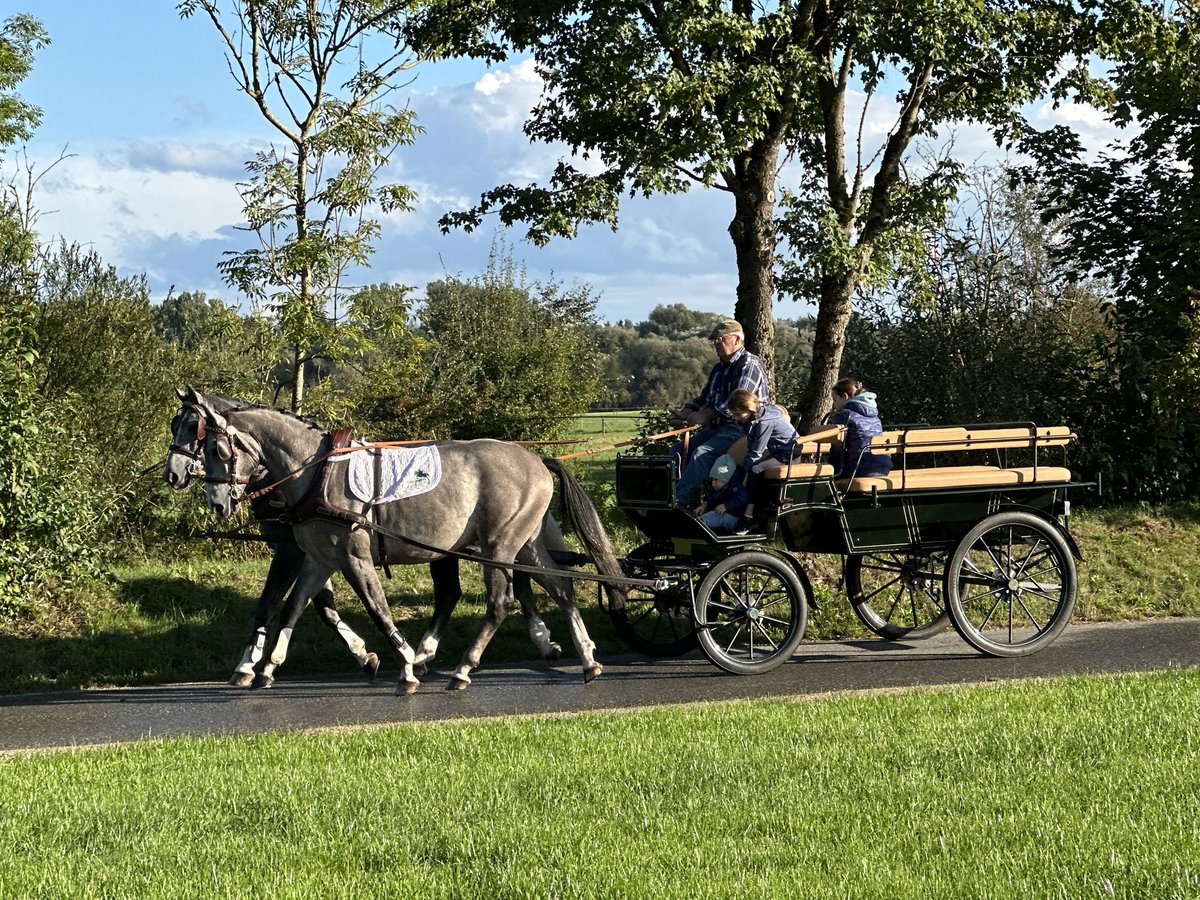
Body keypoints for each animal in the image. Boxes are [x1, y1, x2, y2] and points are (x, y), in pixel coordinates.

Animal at [194, 393, 628, 691]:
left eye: (215, 447)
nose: (216, 502)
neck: (317, 474)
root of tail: (536, 460)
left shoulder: (353, 556)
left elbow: (377, 609)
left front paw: (403, 664)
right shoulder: (318, 559)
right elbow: (293, 609)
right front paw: (267, 666)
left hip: (500, 545)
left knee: (500, 602)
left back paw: (463, 668)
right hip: (526, 543)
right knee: (561, 588)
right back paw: (586, 659)